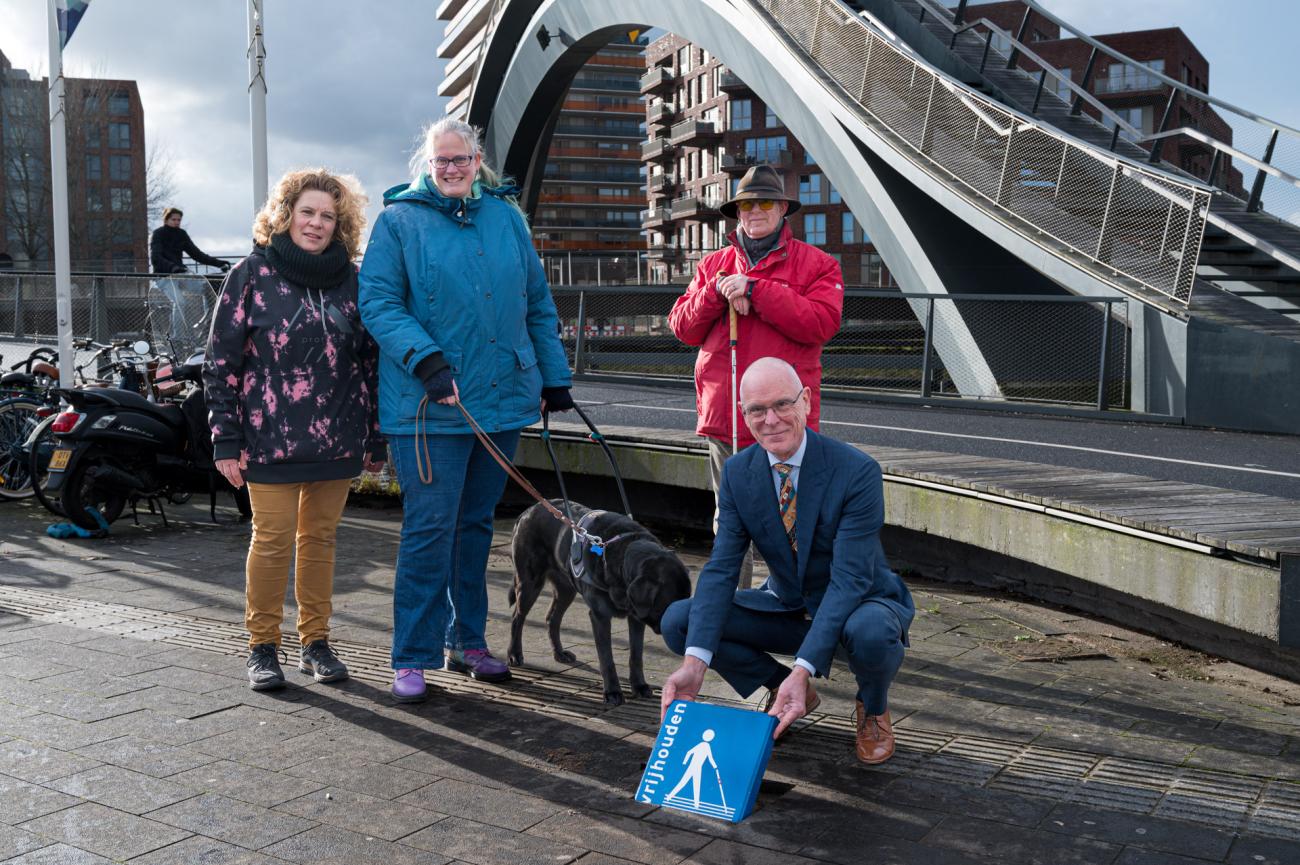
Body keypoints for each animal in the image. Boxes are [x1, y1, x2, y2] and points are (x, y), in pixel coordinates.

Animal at [504, 496, 691, 707]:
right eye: (671, 606)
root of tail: (529, 510)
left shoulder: (636, 618)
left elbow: (636, 655)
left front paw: (639, 686)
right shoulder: (600, 617)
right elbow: (607, 658)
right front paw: (612, 692)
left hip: (566, 588)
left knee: (552, 617)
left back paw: (559, 653)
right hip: (530, 582)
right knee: (517, 617)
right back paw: (514, 654)